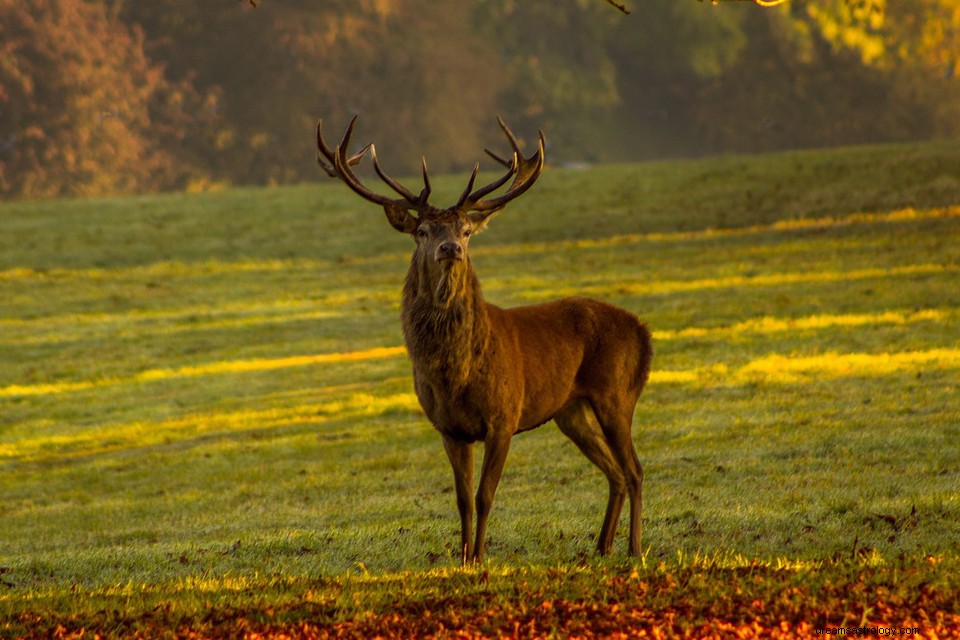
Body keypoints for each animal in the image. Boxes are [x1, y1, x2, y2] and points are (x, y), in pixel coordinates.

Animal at [316, 116, 652, 564]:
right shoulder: (448, 428)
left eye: (466, 229)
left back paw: (634, 547)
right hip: (571, 410)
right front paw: (461, 558)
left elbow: (485, 495)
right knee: (614, 471)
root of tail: (643, 331)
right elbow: (461, 499)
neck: (455, 374)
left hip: (616, 393)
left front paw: (479, 557)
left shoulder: (504, 416)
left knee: (634, 468)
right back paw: (601, 546)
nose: (450, 248)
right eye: (422, 230)